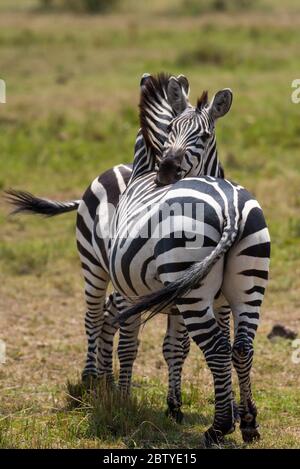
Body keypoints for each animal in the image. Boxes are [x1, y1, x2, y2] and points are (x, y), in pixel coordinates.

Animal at [109, 78, 270, 444]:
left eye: (206, 135)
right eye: (171, 129)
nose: (167, 171)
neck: (143, 171)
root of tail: (231, 207)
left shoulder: (128, 292)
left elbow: (129, 344)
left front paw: (122, 403)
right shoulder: (217, 302)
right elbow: (178, 348)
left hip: (192, 292)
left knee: (217, 349)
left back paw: (218, 428)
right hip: (248, 284)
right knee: (241, 347)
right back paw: (248, 423)